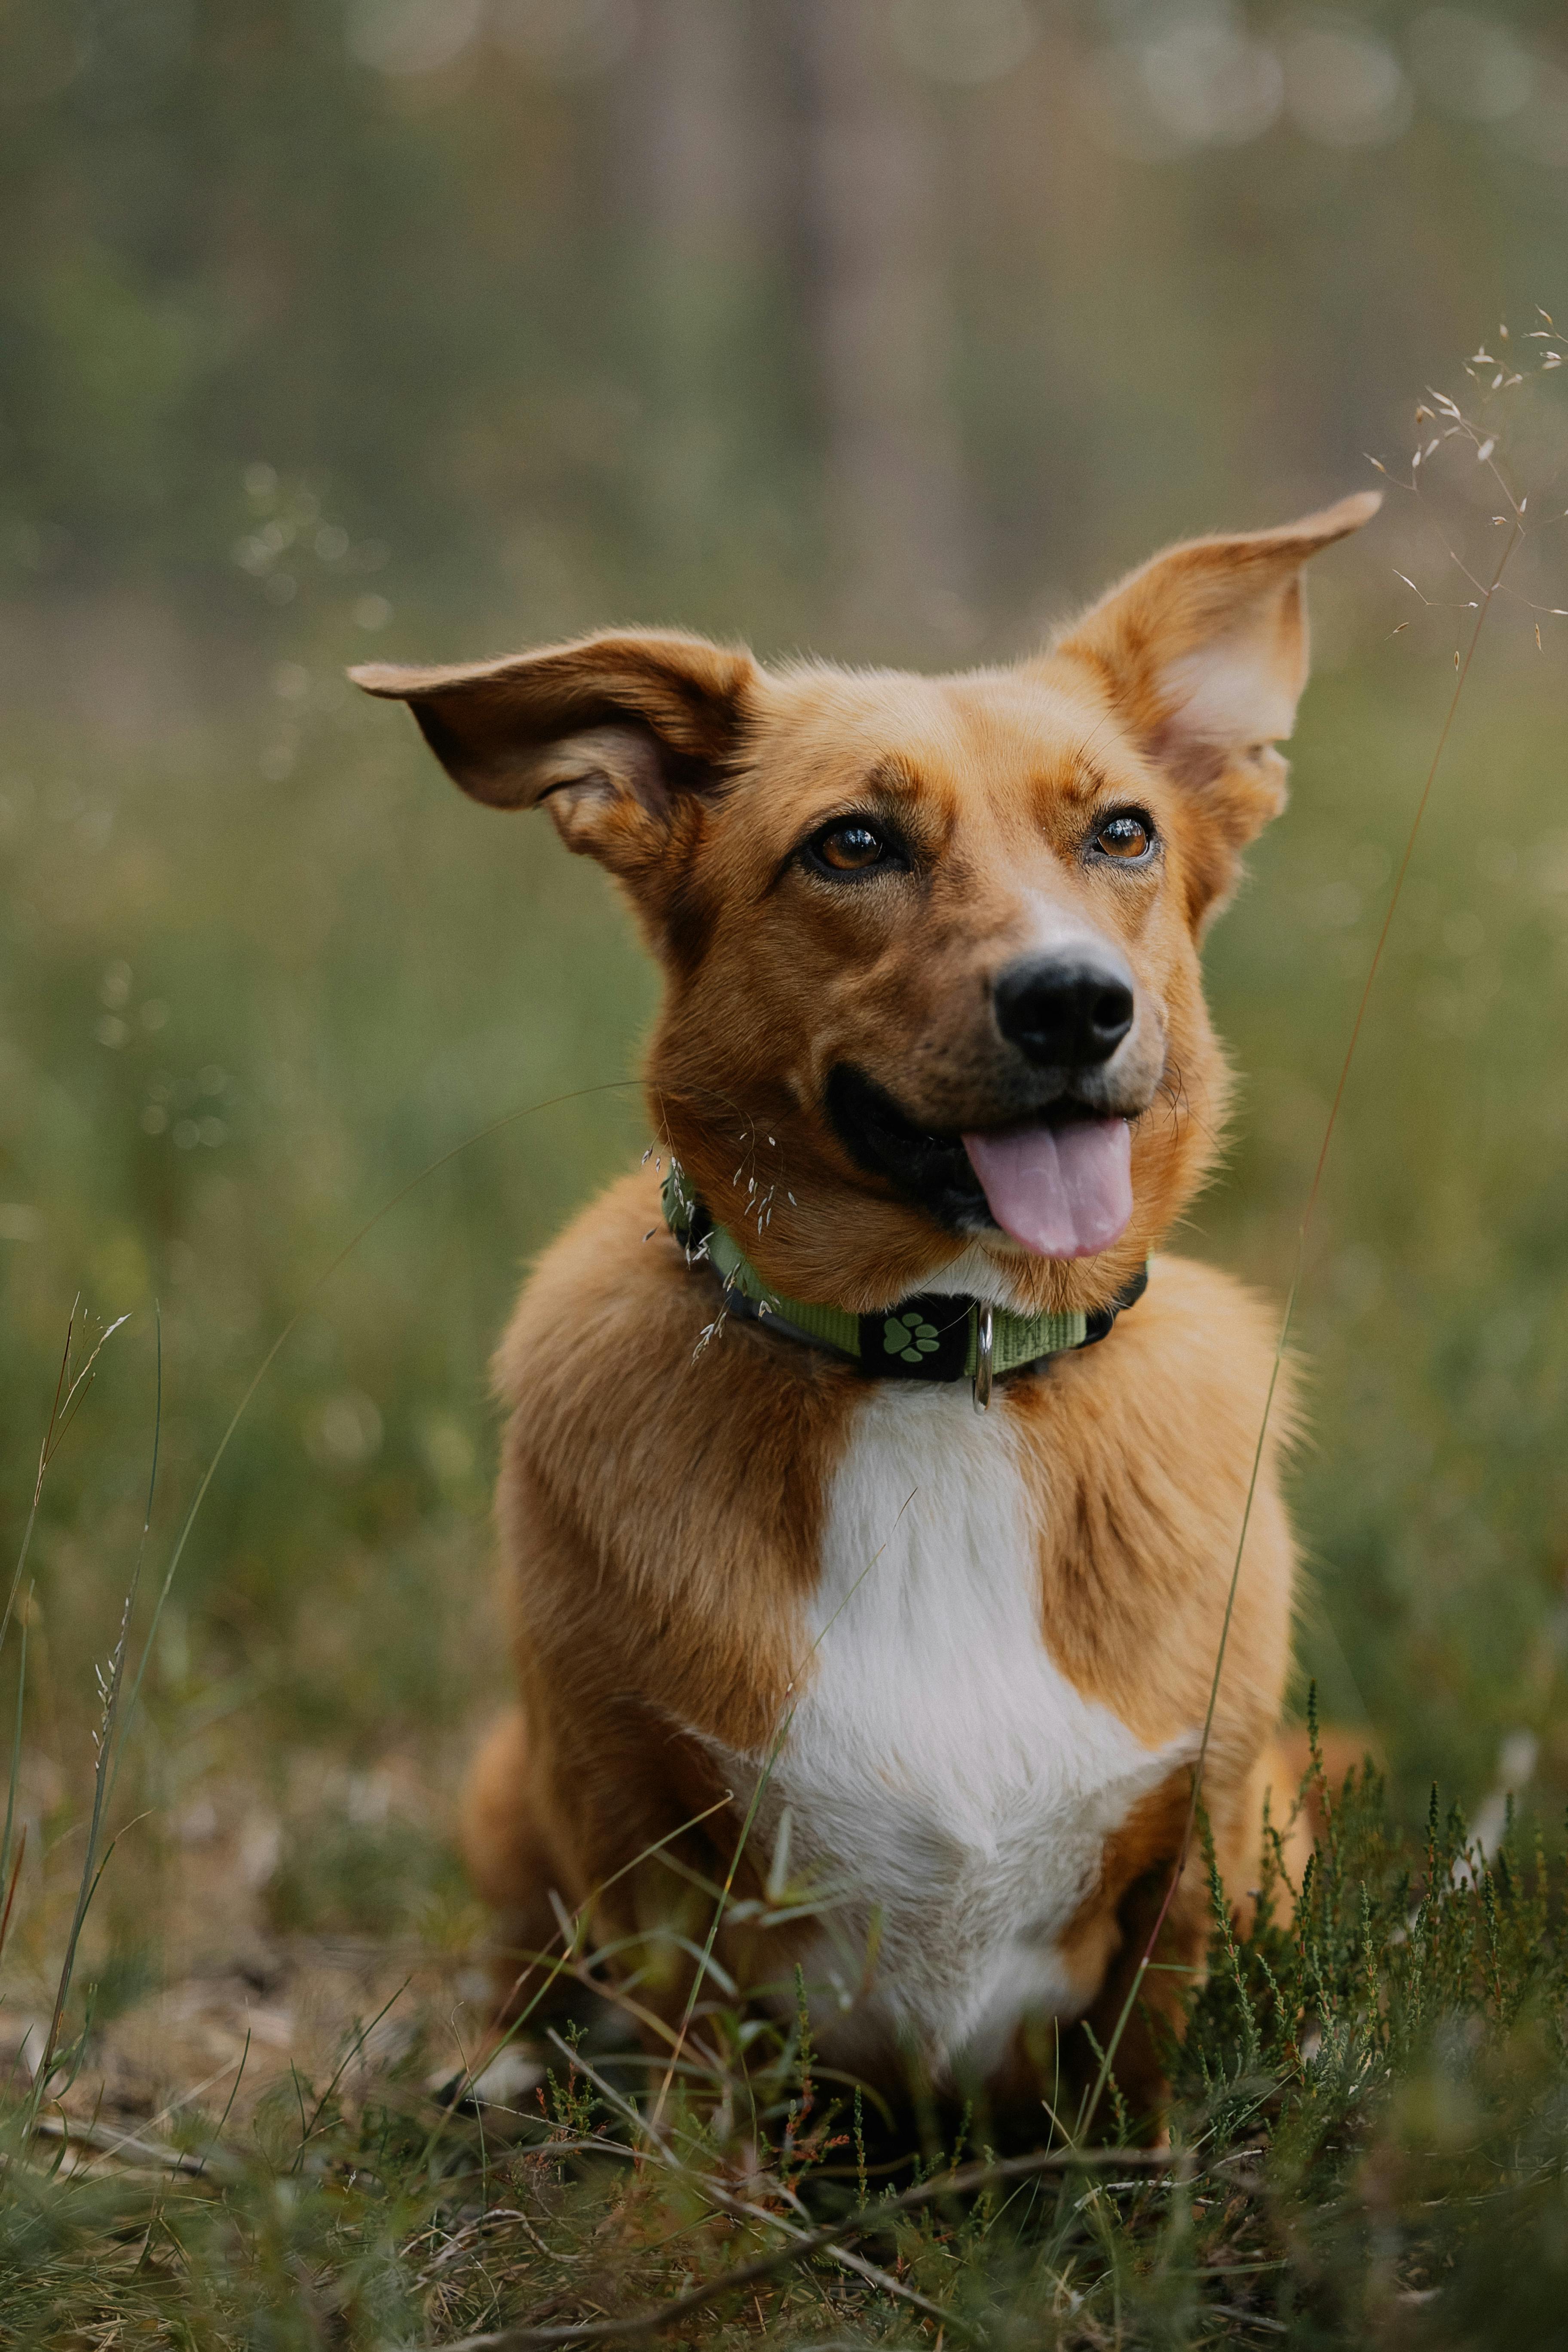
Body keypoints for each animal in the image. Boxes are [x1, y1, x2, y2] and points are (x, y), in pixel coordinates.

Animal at [352, 491, 1373, 2135]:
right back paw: (498, 2065)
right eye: (852, 845)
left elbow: (1133, 2093)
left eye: (1123, 832)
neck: (939, 1368)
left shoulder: (1195, 1841)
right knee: (525, 1962)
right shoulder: (640, 1842)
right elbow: (700, 2125)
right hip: (506, 1788)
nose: (1075, 1003)